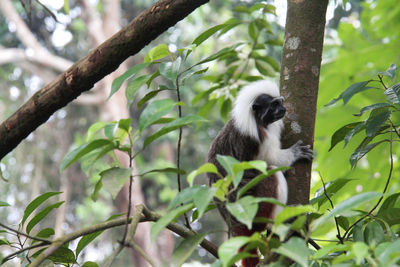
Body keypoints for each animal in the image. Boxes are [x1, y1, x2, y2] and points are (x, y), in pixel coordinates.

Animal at [206, 80, 312, 267]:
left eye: (281, 102)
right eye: (274, 105)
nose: (283, 109)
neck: (258, 121)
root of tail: (236, 224)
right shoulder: (258, 136)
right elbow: (268, 161)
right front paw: (295, 154)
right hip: (254, 207)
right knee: (271, 174)